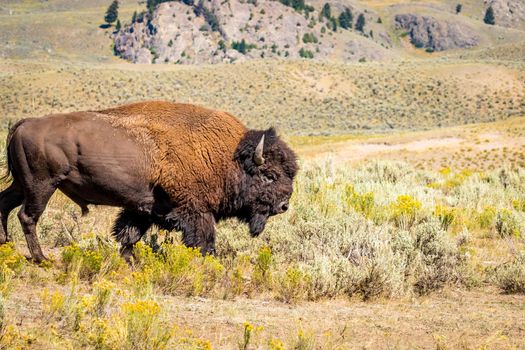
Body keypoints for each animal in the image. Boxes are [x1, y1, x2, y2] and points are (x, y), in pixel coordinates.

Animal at [0, 101, 296, 262]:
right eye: (269, 175)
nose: (284, 205)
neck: (228, 156)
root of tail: (23, 123)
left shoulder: (143, 208)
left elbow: (128, 234)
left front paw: (129, 261)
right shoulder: (196, 211)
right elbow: (204, 241)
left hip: (22, 185)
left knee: (4, 203)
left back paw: (5, 244)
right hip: (42, 186)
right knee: (27, 216)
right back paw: (41, 259)